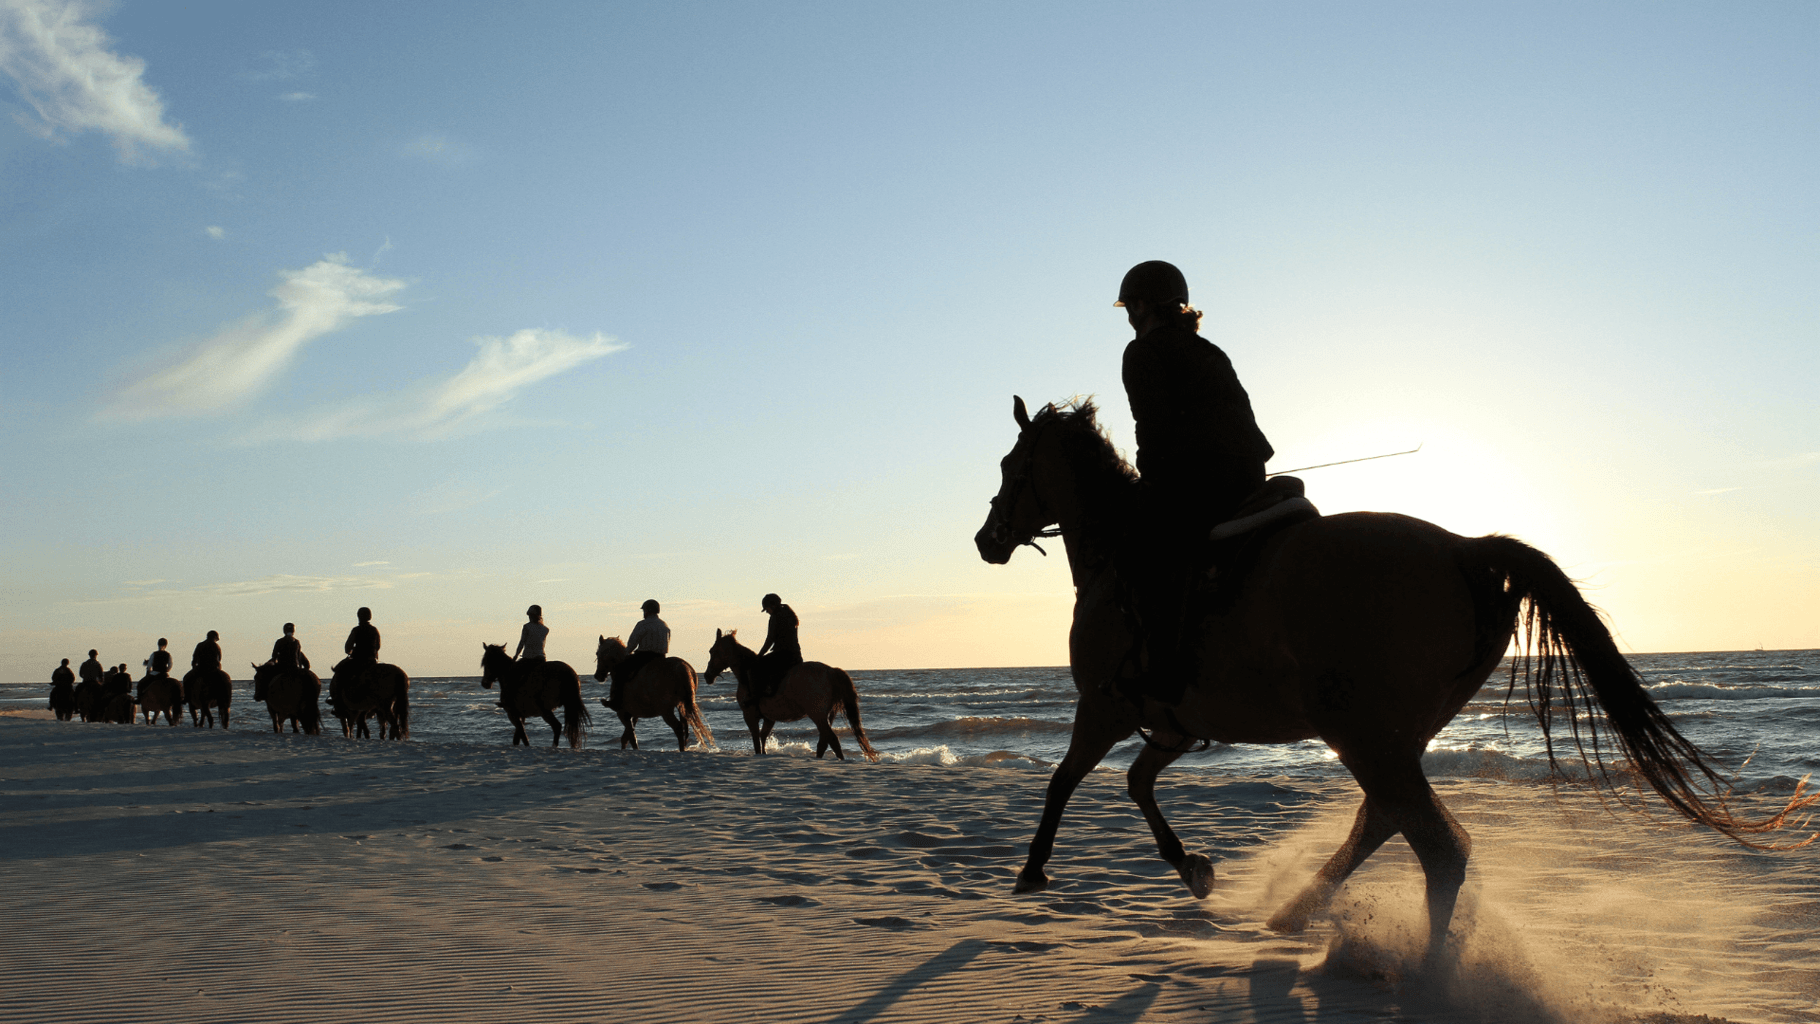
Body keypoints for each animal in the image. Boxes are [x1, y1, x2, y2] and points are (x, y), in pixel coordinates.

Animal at [703, 631, 877, 762]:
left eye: (712, 651)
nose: (706, 676)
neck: (747, 674)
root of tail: (830, 670)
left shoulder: (750, 715)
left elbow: (757, 741)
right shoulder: (769, 718)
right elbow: (763, 738)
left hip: (817, 715)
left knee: (832, 740)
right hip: (825, 715)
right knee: (824, 741)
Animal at [976, 396, 1812, 965]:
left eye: (1012, 468)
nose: (987, 539)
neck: (1119, 554)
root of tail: (1465, 548)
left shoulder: (1105, 708)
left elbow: (1066, 781)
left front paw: (1034, 869)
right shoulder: (1173, 725)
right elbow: (1137, 784)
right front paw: (1194, 869)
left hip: (1361, 731)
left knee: (1435, 845)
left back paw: (1423, 972)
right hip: (1391, 733)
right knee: (1391, 822)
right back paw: (1299, 915)